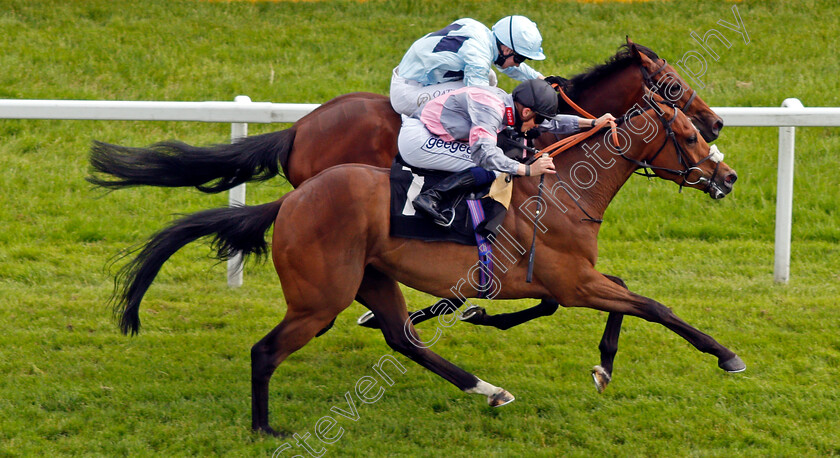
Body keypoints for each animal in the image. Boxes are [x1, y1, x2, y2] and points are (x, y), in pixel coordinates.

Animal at [105, 95, 740, 434]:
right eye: (687, 134)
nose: (728, 176)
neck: (563, 191)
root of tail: (292, 200)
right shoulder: (574, 281)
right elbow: (654, 305)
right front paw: (725, 355)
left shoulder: (573, 280)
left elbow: (628, 297)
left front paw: (602, 366)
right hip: (321, 297)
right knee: (267, 350)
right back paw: (263, 426)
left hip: (372, 280)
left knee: (402, 337)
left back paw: (488, 390)